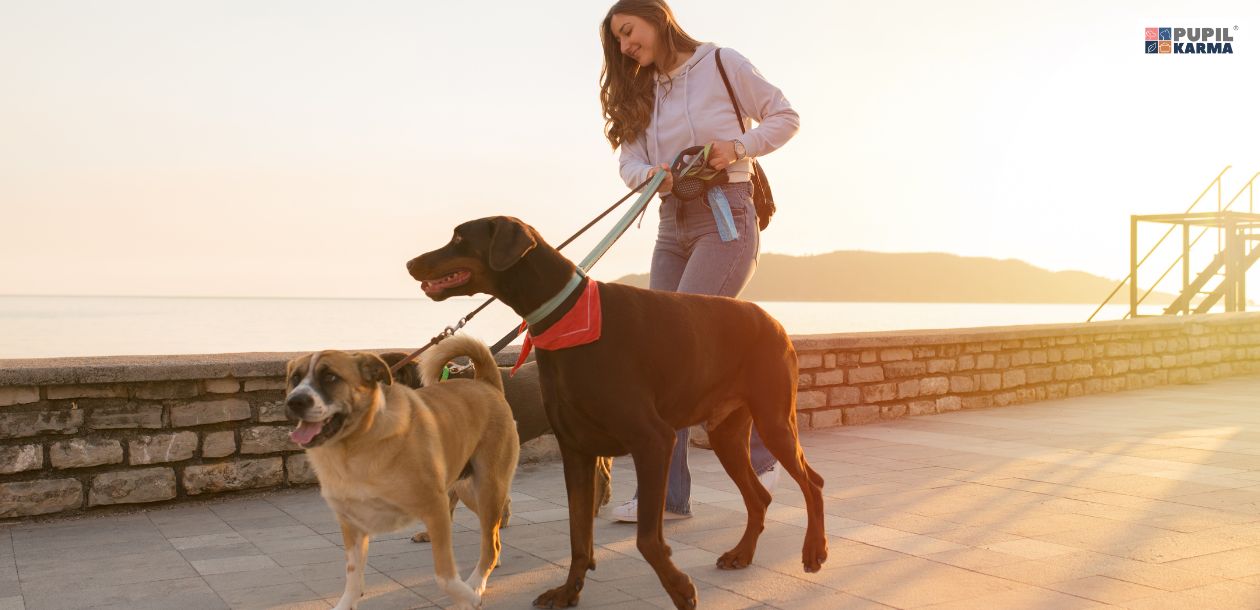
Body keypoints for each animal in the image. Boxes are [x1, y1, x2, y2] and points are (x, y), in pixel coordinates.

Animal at [284, 332, 516, 610]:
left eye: (330, 377)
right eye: (295, 379)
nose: (295, 401)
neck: (354, 450)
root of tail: (485, 384)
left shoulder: (436, 509)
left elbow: (444, 576)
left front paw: (468, 597)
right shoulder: (351, 523)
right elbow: (353, 577)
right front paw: (347, 601)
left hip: (486, 488)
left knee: (490, 543)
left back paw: (476, 582)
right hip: (470, 492)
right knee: (493, 539)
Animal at [403, 216, 826, 607]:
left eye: (459, 237)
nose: (409, 263)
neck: (565, 318)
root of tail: (774, 321)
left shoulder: (654, 440)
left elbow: (647, 539)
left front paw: (679, 587)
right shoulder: (576, 449)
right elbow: (578, 536)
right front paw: (568, 591)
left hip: (774, 420)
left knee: (813, 482)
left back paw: (814, 550)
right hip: (726, 434)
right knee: (760, 497)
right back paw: (742, 554)